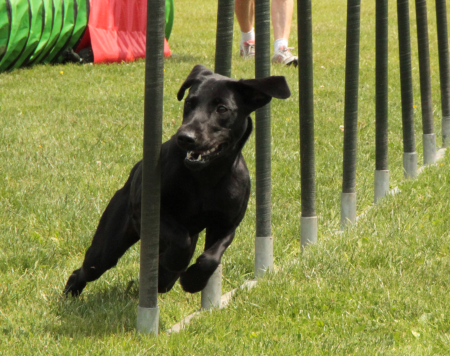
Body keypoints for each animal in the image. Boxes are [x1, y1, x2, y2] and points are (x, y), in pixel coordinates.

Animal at [64, 65, 292, 296]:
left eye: (222, 109)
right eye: (189, 102)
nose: (185, 137)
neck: (205, 177)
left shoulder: (226, 225)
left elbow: (211, 257)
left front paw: (193, 280)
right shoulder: (147, 209)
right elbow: (181, 240)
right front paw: (173, 263)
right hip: (108, 246)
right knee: (88, 268)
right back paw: (71, 293)